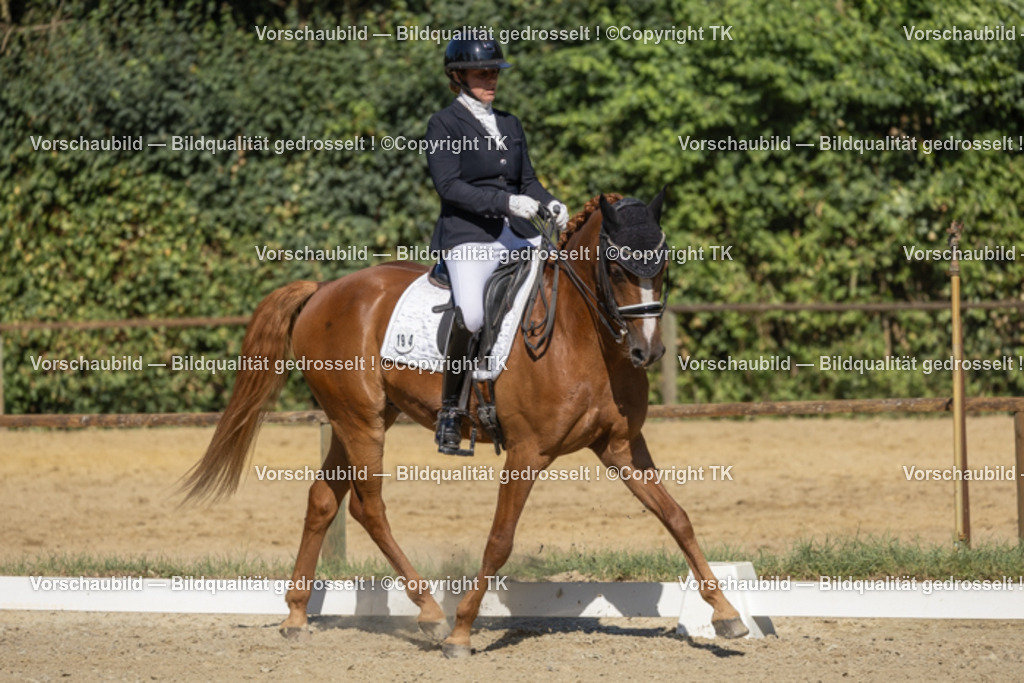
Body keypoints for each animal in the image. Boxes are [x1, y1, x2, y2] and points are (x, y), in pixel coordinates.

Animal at [181, 190, 749, 657]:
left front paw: (726, 614)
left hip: (356, 419)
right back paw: (431, 613)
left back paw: (297, 616)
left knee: (323, 499)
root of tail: (325, 288)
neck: (582, 338)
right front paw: (460, 631)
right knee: (369, 508)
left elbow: (677, 517)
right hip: (361, 421)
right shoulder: (527, 452)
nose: (646, 352)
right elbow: (499, 540)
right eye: (616, 265)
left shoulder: (621, 447)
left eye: (664, 263)